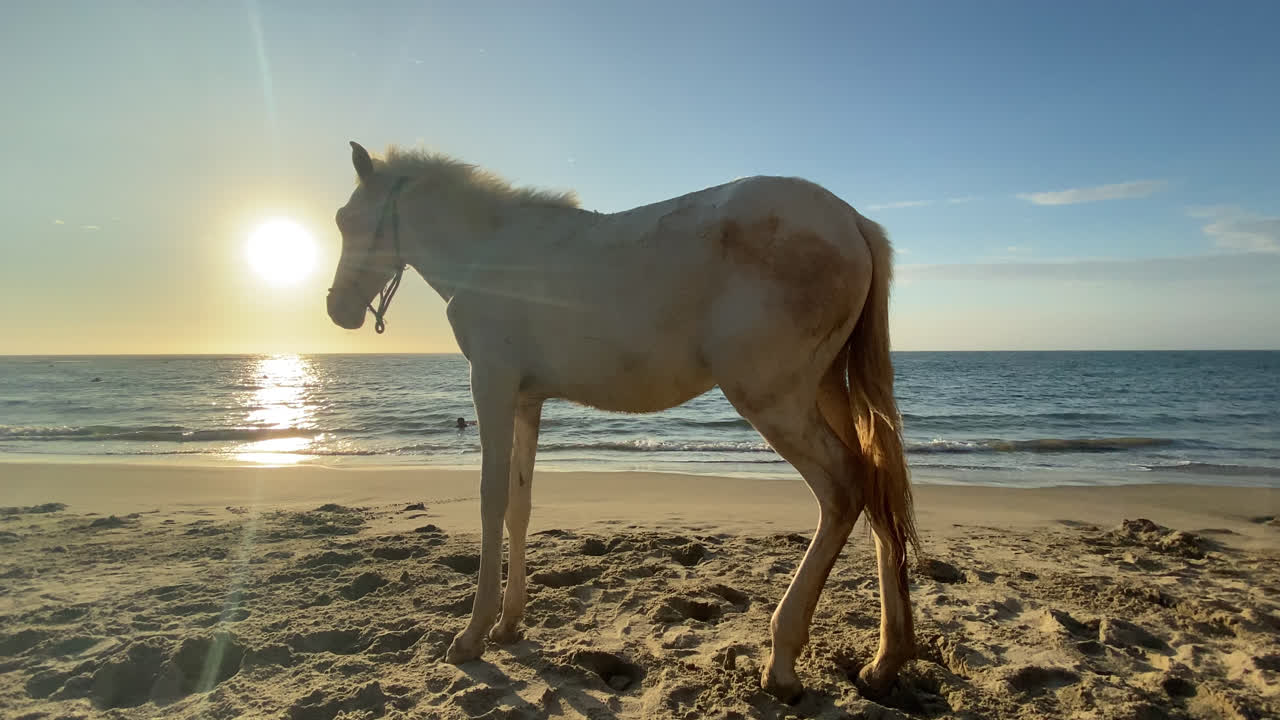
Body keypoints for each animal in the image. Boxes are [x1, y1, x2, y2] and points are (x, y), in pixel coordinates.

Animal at [326, 141, 919, 701]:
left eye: (345, 219)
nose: (337, 309)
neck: (489, 253)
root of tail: (851, 220)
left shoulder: (491, 385)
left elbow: (491, 501)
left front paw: (471, 635)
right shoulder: (526, 400)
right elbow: (520, 504)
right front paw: (509, 624)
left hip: (776, 401)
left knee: (844, 489)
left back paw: (782, 662)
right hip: (829, 389)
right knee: (878, 486)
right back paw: (886, 661)